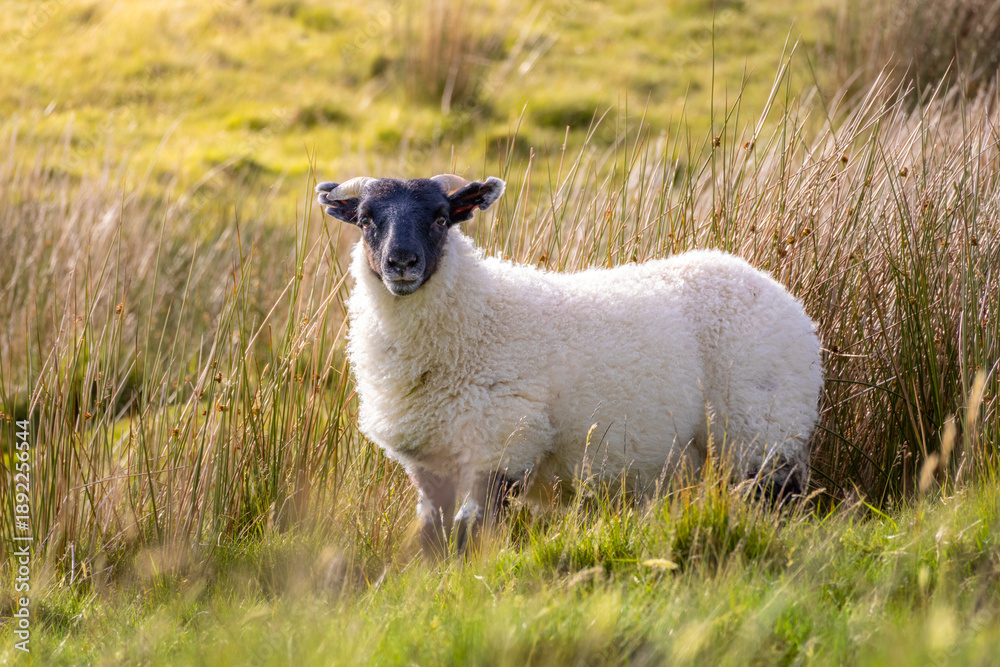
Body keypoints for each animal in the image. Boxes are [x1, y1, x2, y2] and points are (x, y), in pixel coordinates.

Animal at [316, 173, 823, 554]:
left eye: (442, 217)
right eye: (365, 219)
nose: (402, 263)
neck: (476, 316)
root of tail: (782, 295)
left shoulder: (503, 446)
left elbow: (469, 536)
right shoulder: (429, 465)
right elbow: (432, 539)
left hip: (762, 431)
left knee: (778, 505)